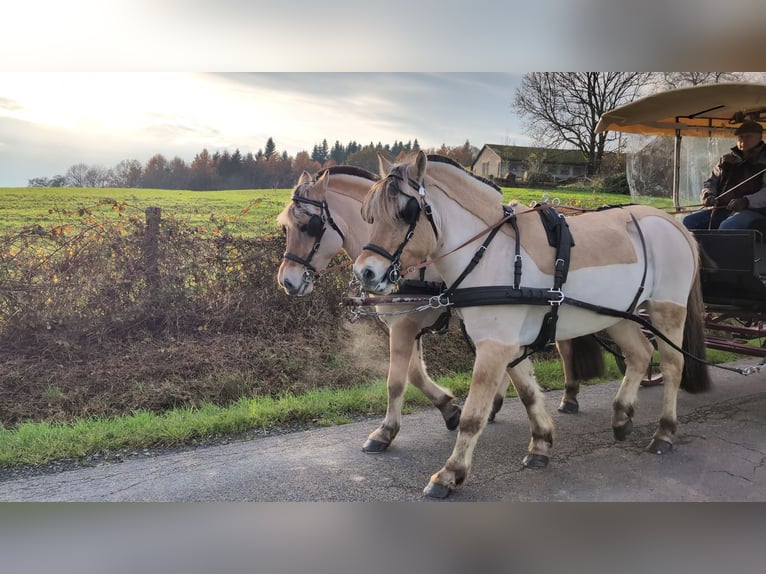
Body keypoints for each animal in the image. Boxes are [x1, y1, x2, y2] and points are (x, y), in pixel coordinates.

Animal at [356, 152, 712, 500]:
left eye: (407, 212)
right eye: (368, 215)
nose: (365, 273)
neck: (491, 254)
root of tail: (672, 223)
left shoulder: (494, 346)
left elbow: (472, 416)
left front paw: (450, 473)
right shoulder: (511, 343)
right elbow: (527, 393)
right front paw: (541, 443)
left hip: (667, 309)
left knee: (673, 364)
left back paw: (664, 432)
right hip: (617, 314)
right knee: (640, 354)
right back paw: (622, 416)